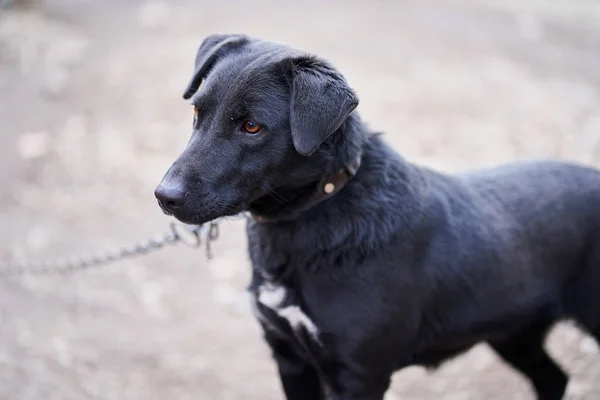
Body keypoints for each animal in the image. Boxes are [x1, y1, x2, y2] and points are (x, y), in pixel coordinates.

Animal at [156, 35, 600, 400]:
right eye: (197, 112)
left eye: (251, 126)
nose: (164, 196)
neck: (319, 213)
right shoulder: (290, 358)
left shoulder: (358, 376)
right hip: (514, 334)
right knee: (554, 379)